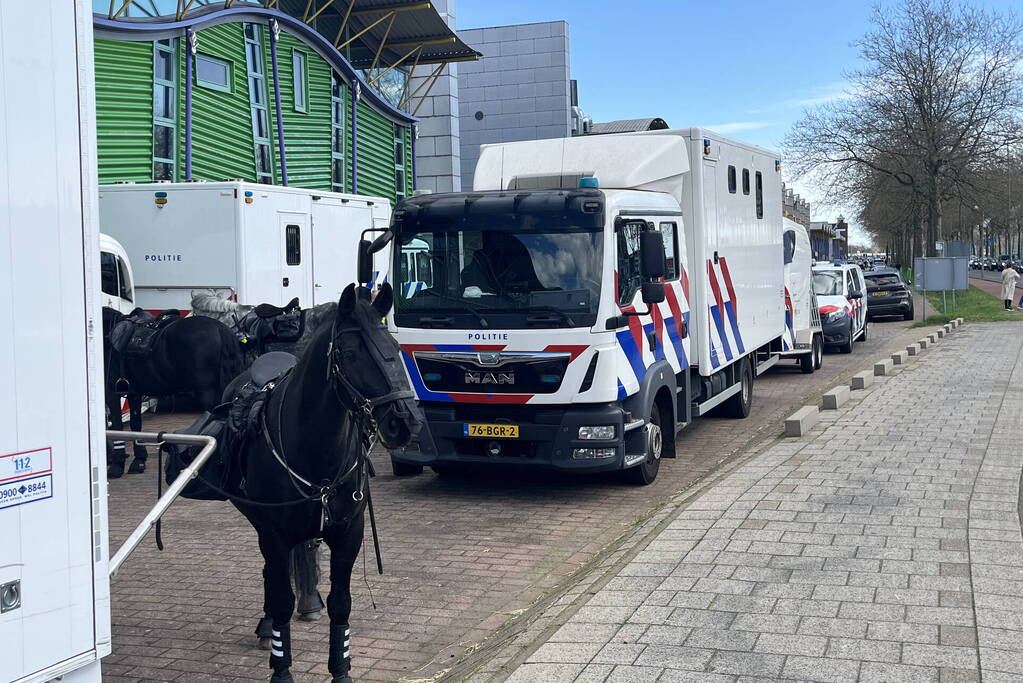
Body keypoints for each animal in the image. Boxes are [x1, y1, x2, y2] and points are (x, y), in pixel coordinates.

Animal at [101, 306, 243, 478]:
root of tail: (220, 329)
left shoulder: (111, 392)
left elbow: (117, 425)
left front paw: (117, 464)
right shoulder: (134, 393)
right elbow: (135, 425)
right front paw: (139, 461)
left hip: (208, 394)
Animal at [230, 284, 421, 683]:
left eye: (396, 349)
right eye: (350, 353)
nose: (406, 422)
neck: (313, 446)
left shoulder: (349, 533)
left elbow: (341, 603)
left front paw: (341, 670)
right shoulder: (273, 533)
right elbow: (281, 599)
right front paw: (281, 668)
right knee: (273, 574)